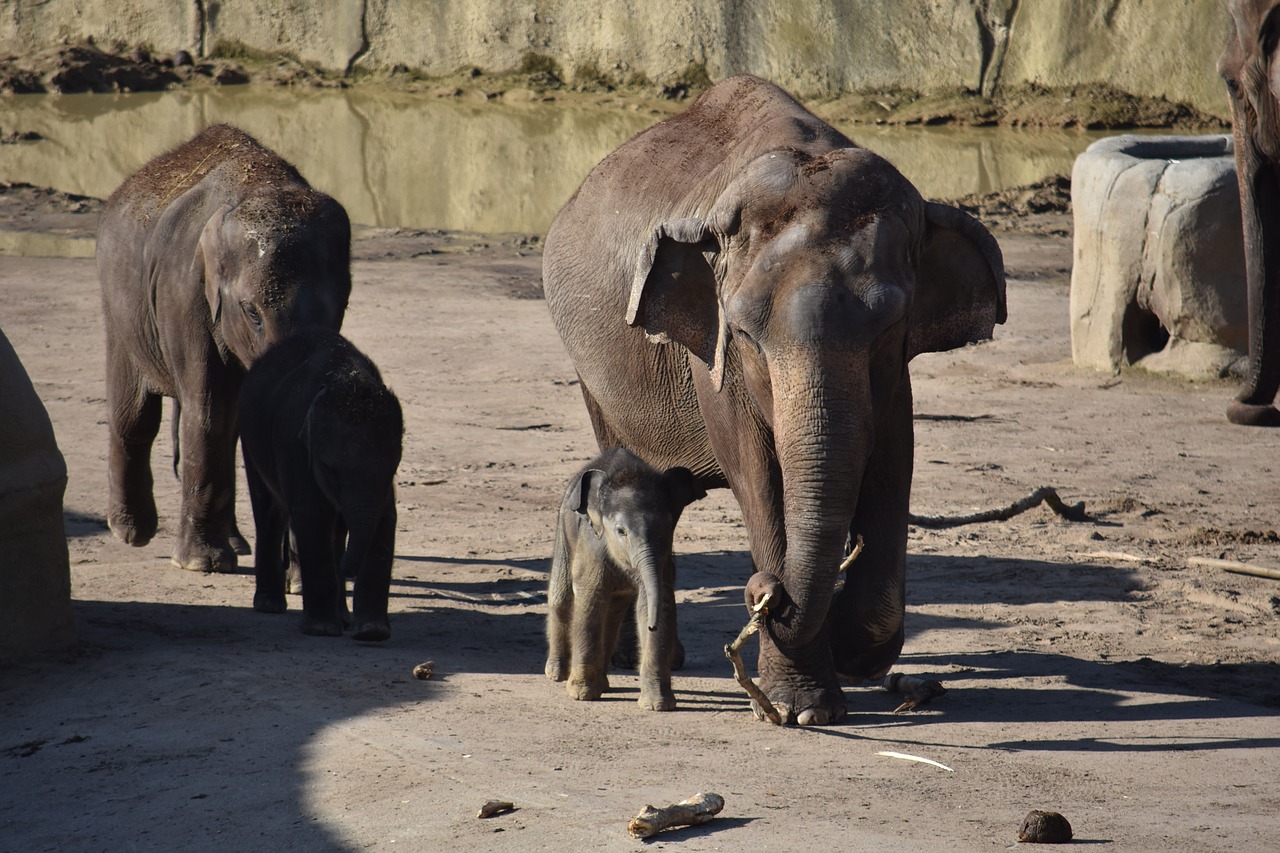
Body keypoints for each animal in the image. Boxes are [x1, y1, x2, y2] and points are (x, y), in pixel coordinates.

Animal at [235, 326, 401, 637]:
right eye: (331, 470)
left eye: (394, 467)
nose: (348, 571)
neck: (347, 377)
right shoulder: (294, 444)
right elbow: (311, 515)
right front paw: (322, 630)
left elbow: (385, 519)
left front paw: (371, 632)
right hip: (250, 438)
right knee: (269, 511)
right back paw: (269, 604)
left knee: (334, 532)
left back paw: (343, 616)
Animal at [540, 448, 701, 706]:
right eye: (620, 531)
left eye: (668, 526)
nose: (652, 626)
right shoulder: (592, 545)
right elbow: (590, 600)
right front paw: (581, 695)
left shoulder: (664, 557)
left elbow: (654, 601)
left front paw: (658, 705)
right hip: (564, 527)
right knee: (561, 597)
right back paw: (557, 674)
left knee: (613, 615)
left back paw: (603, 683)